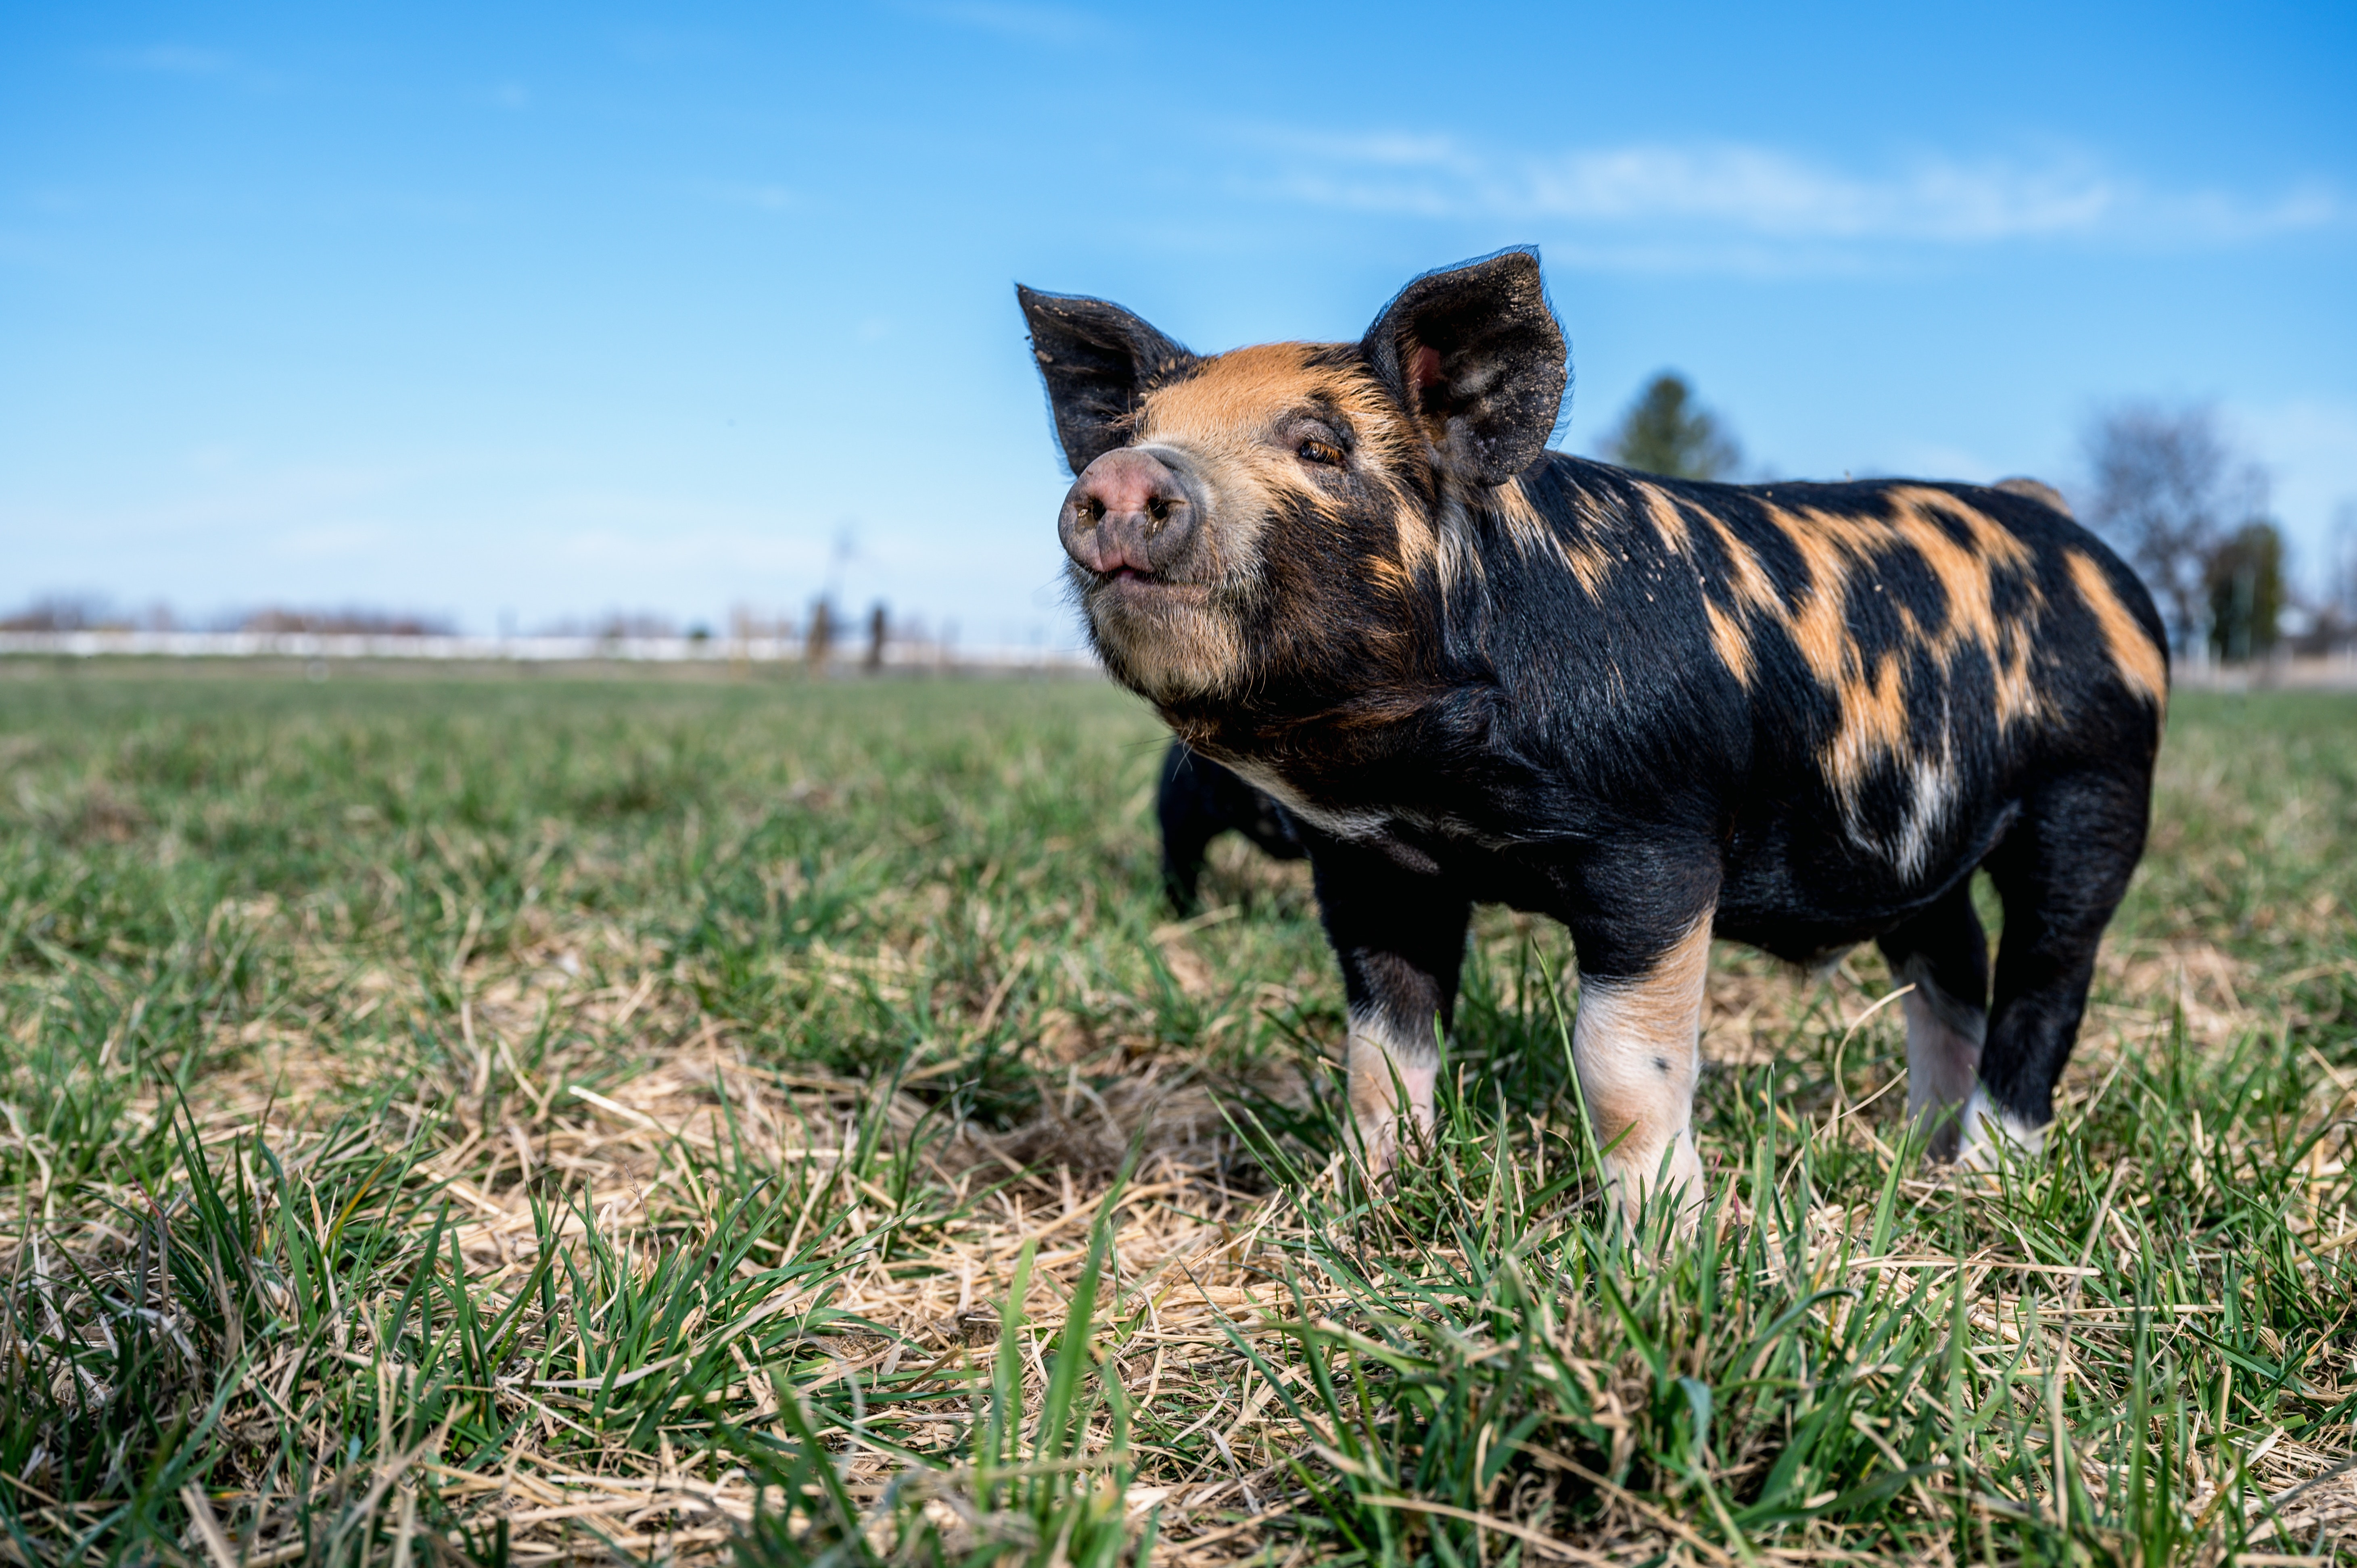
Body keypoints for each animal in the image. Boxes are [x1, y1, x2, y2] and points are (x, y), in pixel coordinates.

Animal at [1013, 247, 2159, 1226]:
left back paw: (1985, 1180)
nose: (1122, 478)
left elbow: (1619, 1067)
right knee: (1951, 967)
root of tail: (2071, 535)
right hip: (1916, 846)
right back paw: (1916, 1154)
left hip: (2093, 794)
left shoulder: (1655, 845)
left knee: (2044, 985)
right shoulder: (1367, 862)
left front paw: (1660, 1245)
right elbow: (1380, 1050)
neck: (1437, 781)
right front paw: (1373, 1203)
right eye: (1132, 431)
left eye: (1320, 447)